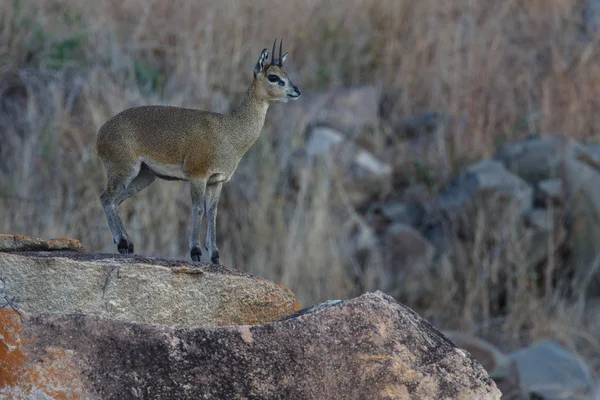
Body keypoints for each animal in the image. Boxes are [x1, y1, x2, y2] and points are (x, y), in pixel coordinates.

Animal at [97, 39, 300, 262]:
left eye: (287, 73)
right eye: (273, 76)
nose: (296, 91)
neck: (229, 131)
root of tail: (101, 133)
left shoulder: (217, 180)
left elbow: (212, 213)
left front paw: (215, 255)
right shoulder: (197, 175)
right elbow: (198, 209)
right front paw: (195, 251)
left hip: (144, 176)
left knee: (116, 200)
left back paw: (127, 243)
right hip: (124, 170)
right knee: (107, 198)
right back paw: (123, 244)